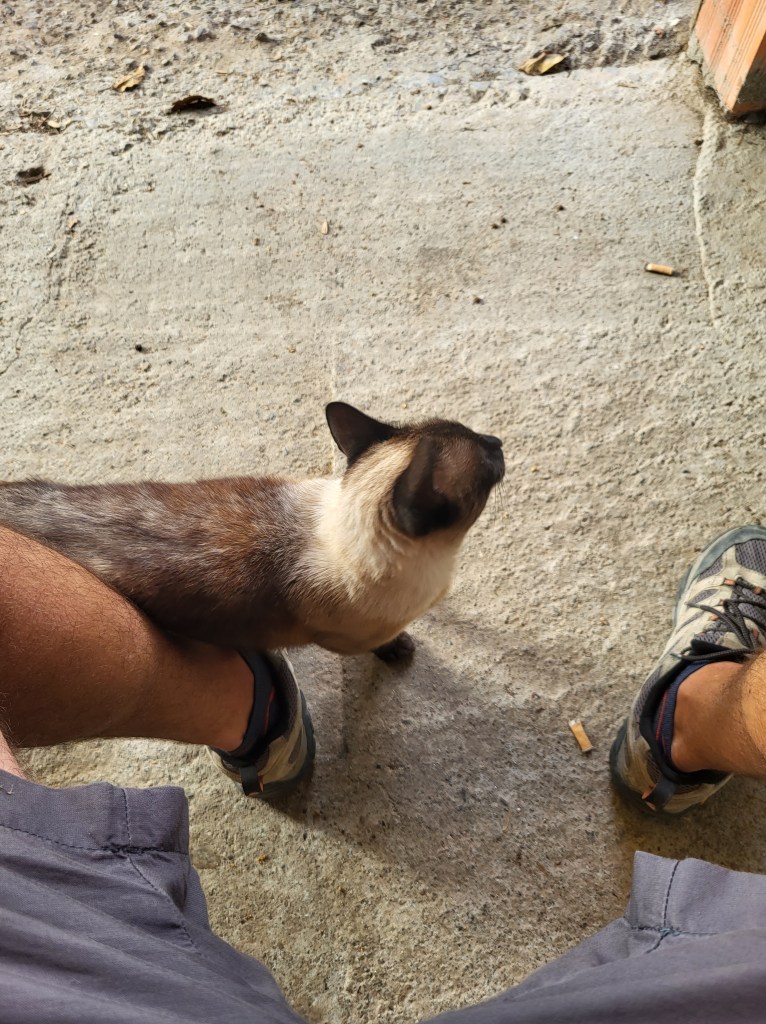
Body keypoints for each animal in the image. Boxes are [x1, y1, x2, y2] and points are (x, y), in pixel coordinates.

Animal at [0, 402, 504, 660]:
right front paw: (401, 651)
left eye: (483, 439)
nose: (498, 441)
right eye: (486, 462)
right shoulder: (352, 639)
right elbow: (381, 646)